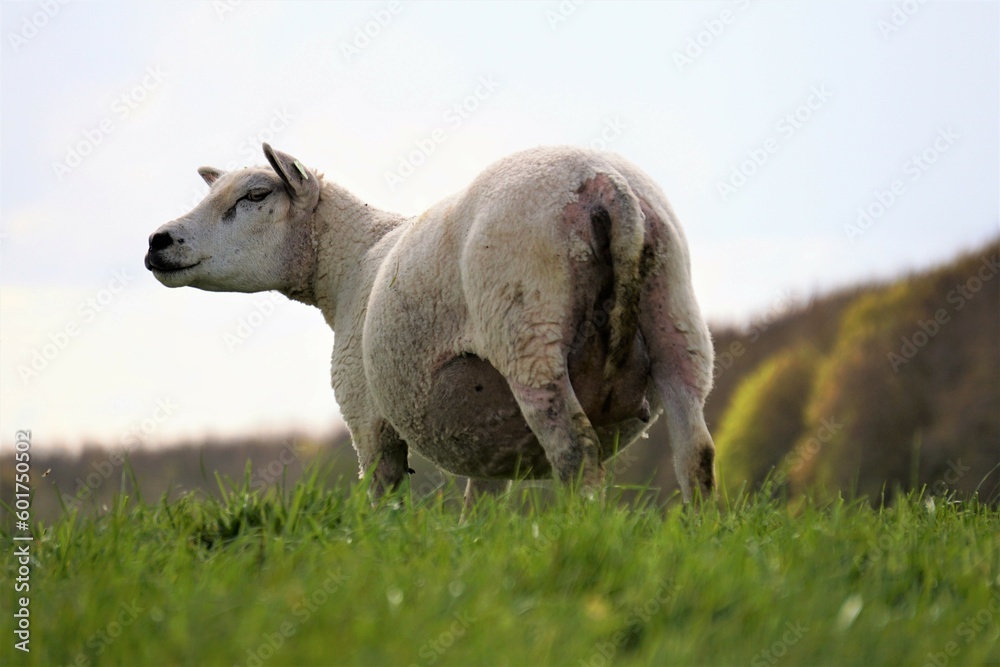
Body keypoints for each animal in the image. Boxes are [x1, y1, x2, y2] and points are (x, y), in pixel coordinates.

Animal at [145, 144, 716, 505]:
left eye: (257, 195)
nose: (158, 240)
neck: (351, 260)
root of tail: (606, 186)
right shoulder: (489, 443)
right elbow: (479, 510)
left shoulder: (365, 415)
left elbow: (381, 499)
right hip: (677, 321)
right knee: (698, 453)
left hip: (529, 329)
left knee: (576, 451)